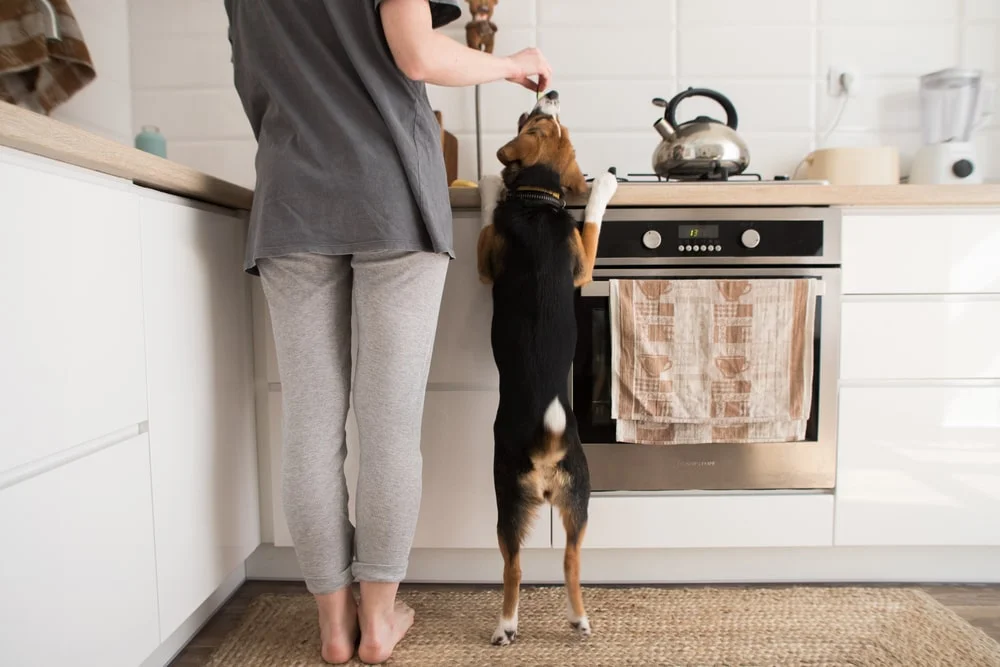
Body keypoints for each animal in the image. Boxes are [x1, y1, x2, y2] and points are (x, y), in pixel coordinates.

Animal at [474, 90, 616, 648]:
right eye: (543, 118)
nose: (549, 92)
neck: (538, 199)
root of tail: (546, 441)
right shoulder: (584, 263)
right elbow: (591, 221)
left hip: (530, 501)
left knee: (536, 565)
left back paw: (531, 623)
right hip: (566, 495)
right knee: (544, 564)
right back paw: (543, 622)